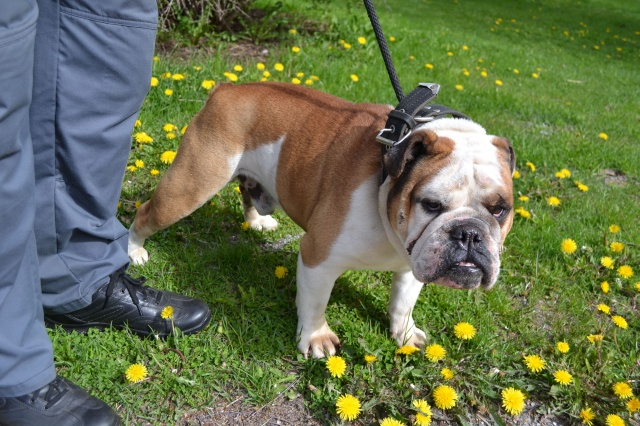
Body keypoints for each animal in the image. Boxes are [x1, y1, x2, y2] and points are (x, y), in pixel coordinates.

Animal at [128, 82, 515, 358]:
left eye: (501, 209)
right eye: (431, 204)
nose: (469, 233)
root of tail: (227, 89)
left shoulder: (412, 263)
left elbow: (403, 302)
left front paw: (404, 334)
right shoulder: (319, 257)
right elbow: (315, 303)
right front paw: (316, 338)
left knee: (247, 191)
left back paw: (256, 223)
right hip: (191, 185)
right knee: (145, 212)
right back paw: (133, 250)